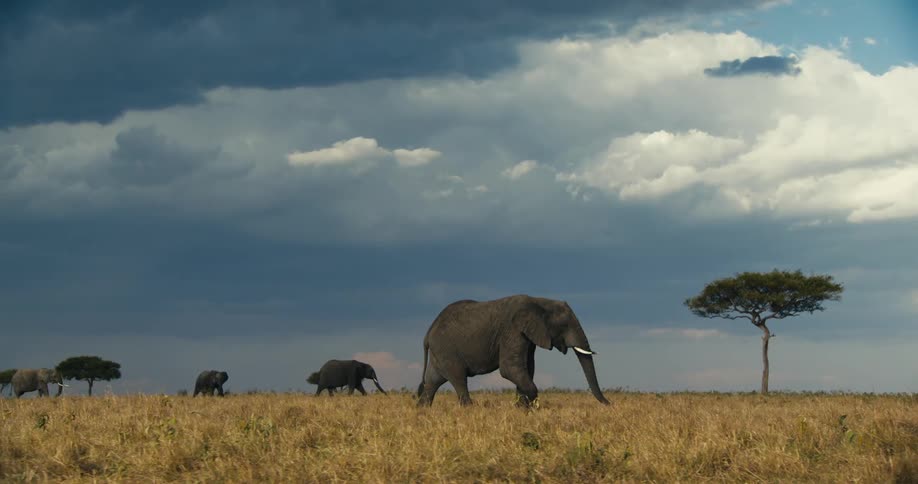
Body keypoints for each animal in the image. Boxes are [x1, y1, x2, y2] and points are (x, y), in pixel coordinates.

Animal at [416, 295, 610, 407]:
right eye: (564, 326)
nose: (609, 404)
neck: (540, 301)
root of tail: (427, 332)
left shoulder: (528, 335)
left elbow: (528, 367)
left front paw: (521, 408)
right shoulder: (512, 330)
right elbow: (510, 369)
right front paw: (530, 405)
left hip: (440, 353)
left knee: (432, 382)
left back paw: (422, 411)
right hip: (447, 350)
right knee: (459, 379)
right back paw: (469, 409)